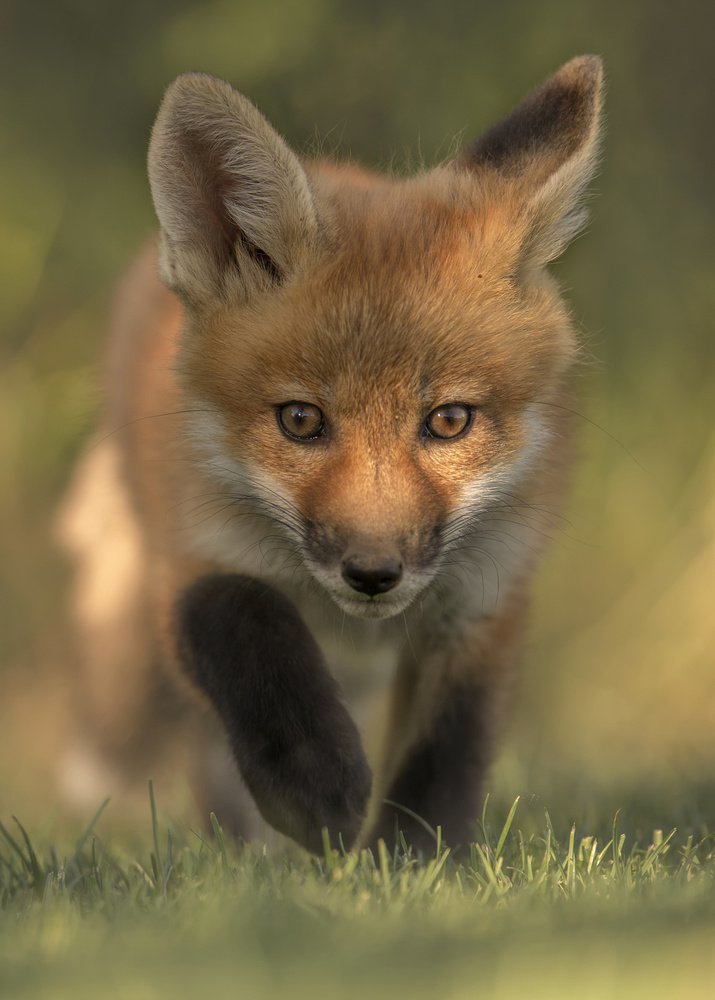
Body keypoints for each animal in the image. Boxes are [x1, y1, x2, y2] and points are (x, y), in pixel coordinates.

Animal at [58, 54, 604, 852]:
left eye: (448, 421)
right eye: (300, 420)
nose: (372, 573)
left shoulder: (482, 602)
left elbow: (446, 751)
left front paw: (417, 861)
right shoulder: (191, 557)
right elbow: (244, 619)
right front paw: (315, 788)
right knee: (209, 750)